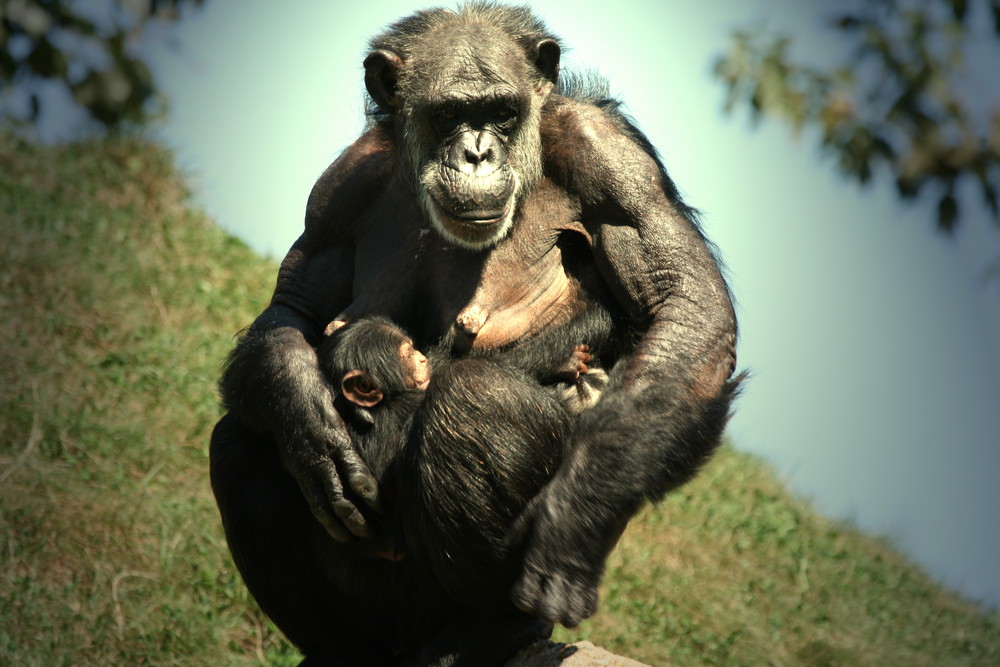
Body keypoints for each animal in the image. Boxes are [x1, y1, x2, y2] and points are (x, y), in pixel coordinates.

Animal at [211, 2, 744, 664]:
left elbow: (684, 307)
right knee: (239, 449)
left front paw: (576, 519)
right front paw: (307, 421)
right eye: (448, 114)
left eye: (502, 112)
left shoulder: (612, 160)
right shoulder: (338, 189)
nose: (478, 153)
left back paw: (490, 631)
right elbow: (293, 311)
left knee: (476, 403)